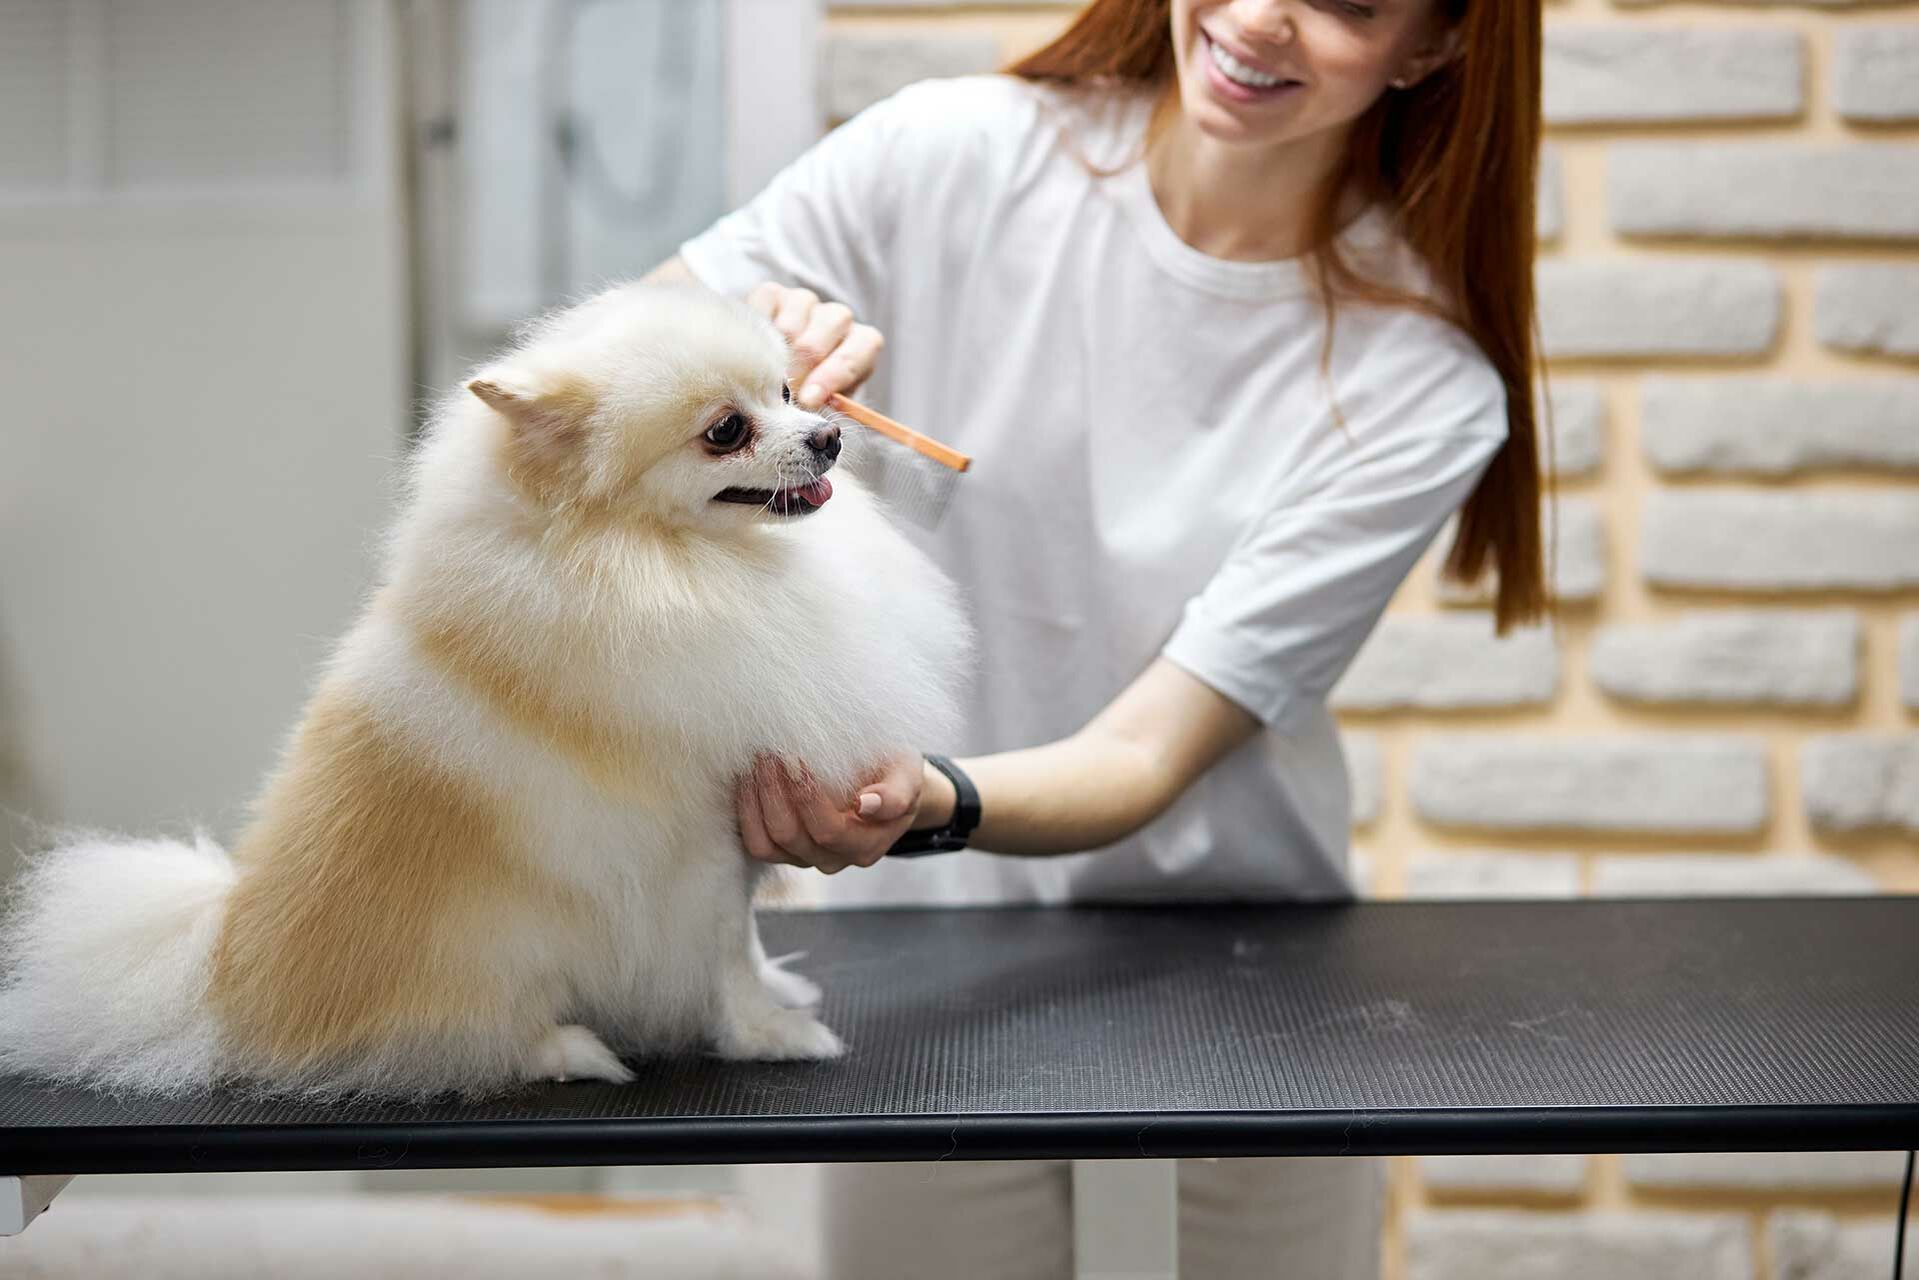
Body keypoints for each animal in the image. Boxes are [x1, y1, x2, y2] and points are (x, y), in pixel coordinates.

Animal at [0, 280, 967, 1105]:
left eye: (790, 390)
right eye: (725, 430)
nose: (827, 435)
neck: (667, 564)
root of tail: (221, 977)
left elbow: (750, 944)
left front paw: (777, 990)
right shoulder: (702, 846)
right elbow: (725, 956)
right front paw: (767, 1032)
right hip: (493, 953)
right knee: (467, 1041)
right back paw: (572, 1051)